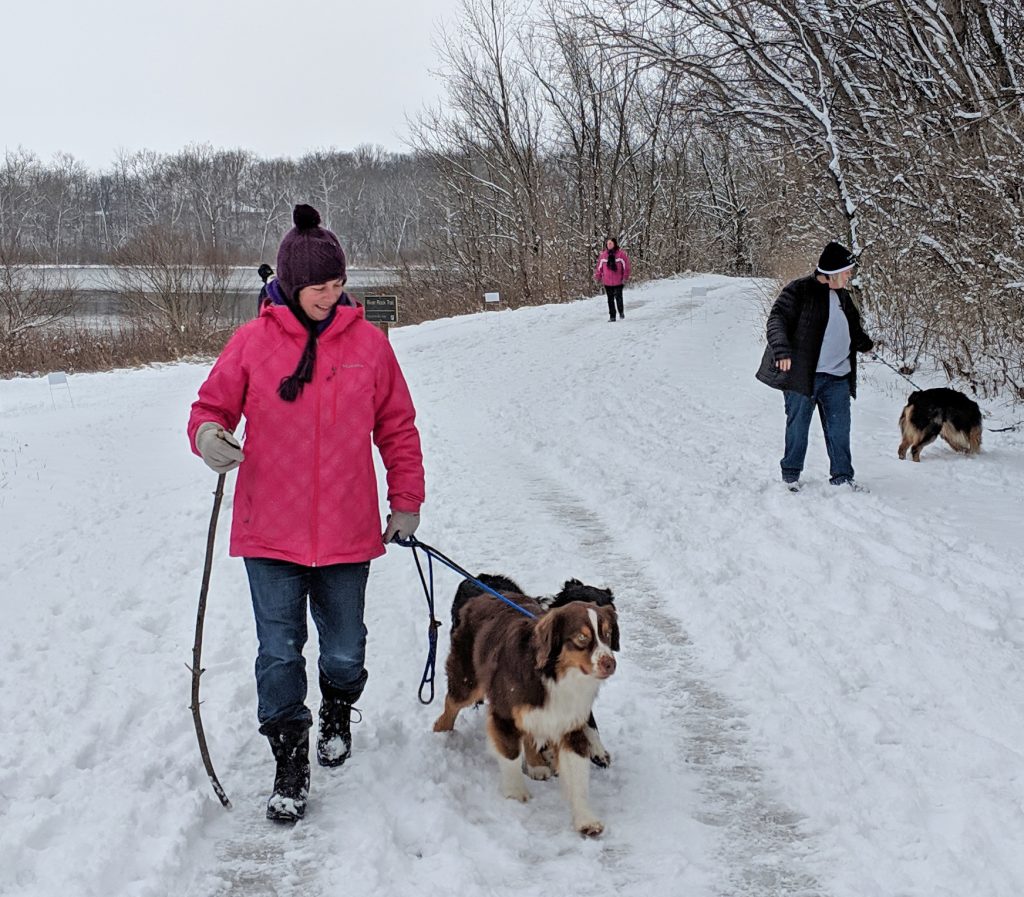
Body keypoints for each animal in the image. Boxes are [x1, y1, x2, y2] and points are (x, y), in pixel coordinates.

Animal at [432, 577, 614, 835]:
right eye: (582, 637)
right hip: (467, 679)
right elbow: (512, 753)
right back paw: (441, 735)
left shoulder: (570, 713)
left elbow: (580, 761)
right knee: (450, 706)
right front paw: (516, 793)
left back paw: (538, 764)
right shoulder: (508, 708)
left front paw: (585, 817)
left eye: (608, 633)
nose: (609, 662)